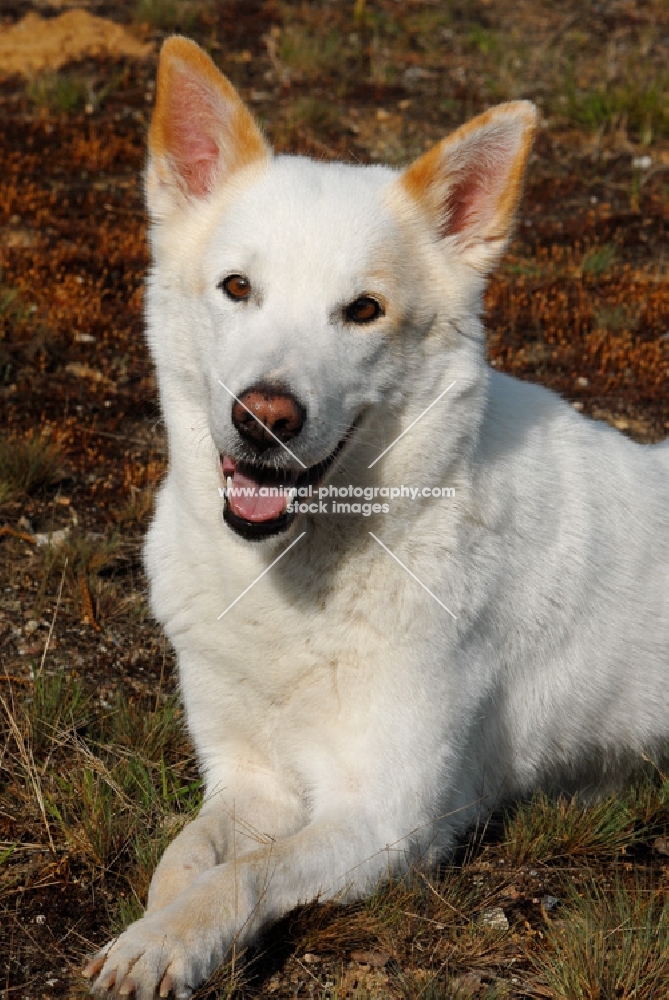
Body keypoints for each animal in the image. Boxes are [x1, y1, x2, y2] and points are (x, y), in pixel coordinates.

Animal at [85, 35, 668, 996]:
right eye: (237, 288)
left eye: (362, 311)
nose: (263, 418)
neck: (296, 580)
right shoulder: (248, 784)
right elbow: (183, 863)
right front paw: (154, 930)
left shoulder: (387, 819)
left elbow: (243, 879)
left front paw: (165, 943)